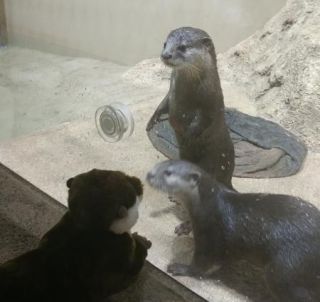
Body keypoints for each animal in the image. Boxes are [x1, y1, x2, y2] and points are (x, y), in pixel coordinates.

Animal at [146, 27, 234, 189]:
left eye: (182, 47)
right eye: (165, 44)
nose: (165, 55)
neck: (187, 91)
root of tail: (228, 180)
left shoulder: (211, 101)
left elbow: (205, 120)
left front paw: (188, 137)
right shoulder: (171, 93)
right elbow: (162, 105)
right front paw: (152, 120)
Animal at [147, 159, 320, 300]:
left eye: (168, 172)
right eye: (158, 165)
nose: (149, 174)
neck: (208, 206)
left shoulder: (210, 232)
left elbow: (203, 263)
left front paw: (181, 268)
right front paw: (184, 227)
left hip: (286, 267)